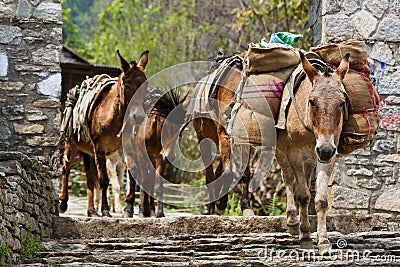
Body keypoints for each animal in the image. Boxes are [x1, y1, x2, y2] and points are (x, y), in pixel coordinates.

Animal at [58, 50, 148, 218]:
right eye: (126, 84)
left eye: (146, 85)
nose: (138, 117)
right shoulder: (100, 149)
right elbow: (103, 180)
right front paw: (106, 210)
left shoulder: (126, 148)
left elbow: (130, 177)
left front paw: (128, 208)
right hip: (73, 146)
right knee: (66, 167)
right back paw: (63, 203)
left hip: (88, 152)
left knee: (89, 179)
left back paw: (91, 211)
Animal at [124, 88, 188, 218]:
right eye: (164, 125)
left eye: (180, 130)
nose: (170, 157)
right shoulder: (141, 154)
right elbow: (144, 180)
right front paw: (142, 211)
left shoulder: (160, 157)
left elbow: (157, 185)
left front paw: (159, 213)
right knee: (135, 174)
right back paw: (130, 209)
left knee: (149, 178)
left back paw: (151, 210)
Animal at [276, 52, 348, 255]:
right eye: (312, 102)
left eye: (342, 103)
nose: (324, 150)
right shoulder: (294, 154)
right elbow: (303, 196)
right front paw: (306, 236)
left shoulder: (329, 154)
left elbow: (321, 200)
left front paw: (323, 241)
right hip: (281, 152)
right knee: (288, 179)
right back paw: (293, 222)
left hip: (310, 160)